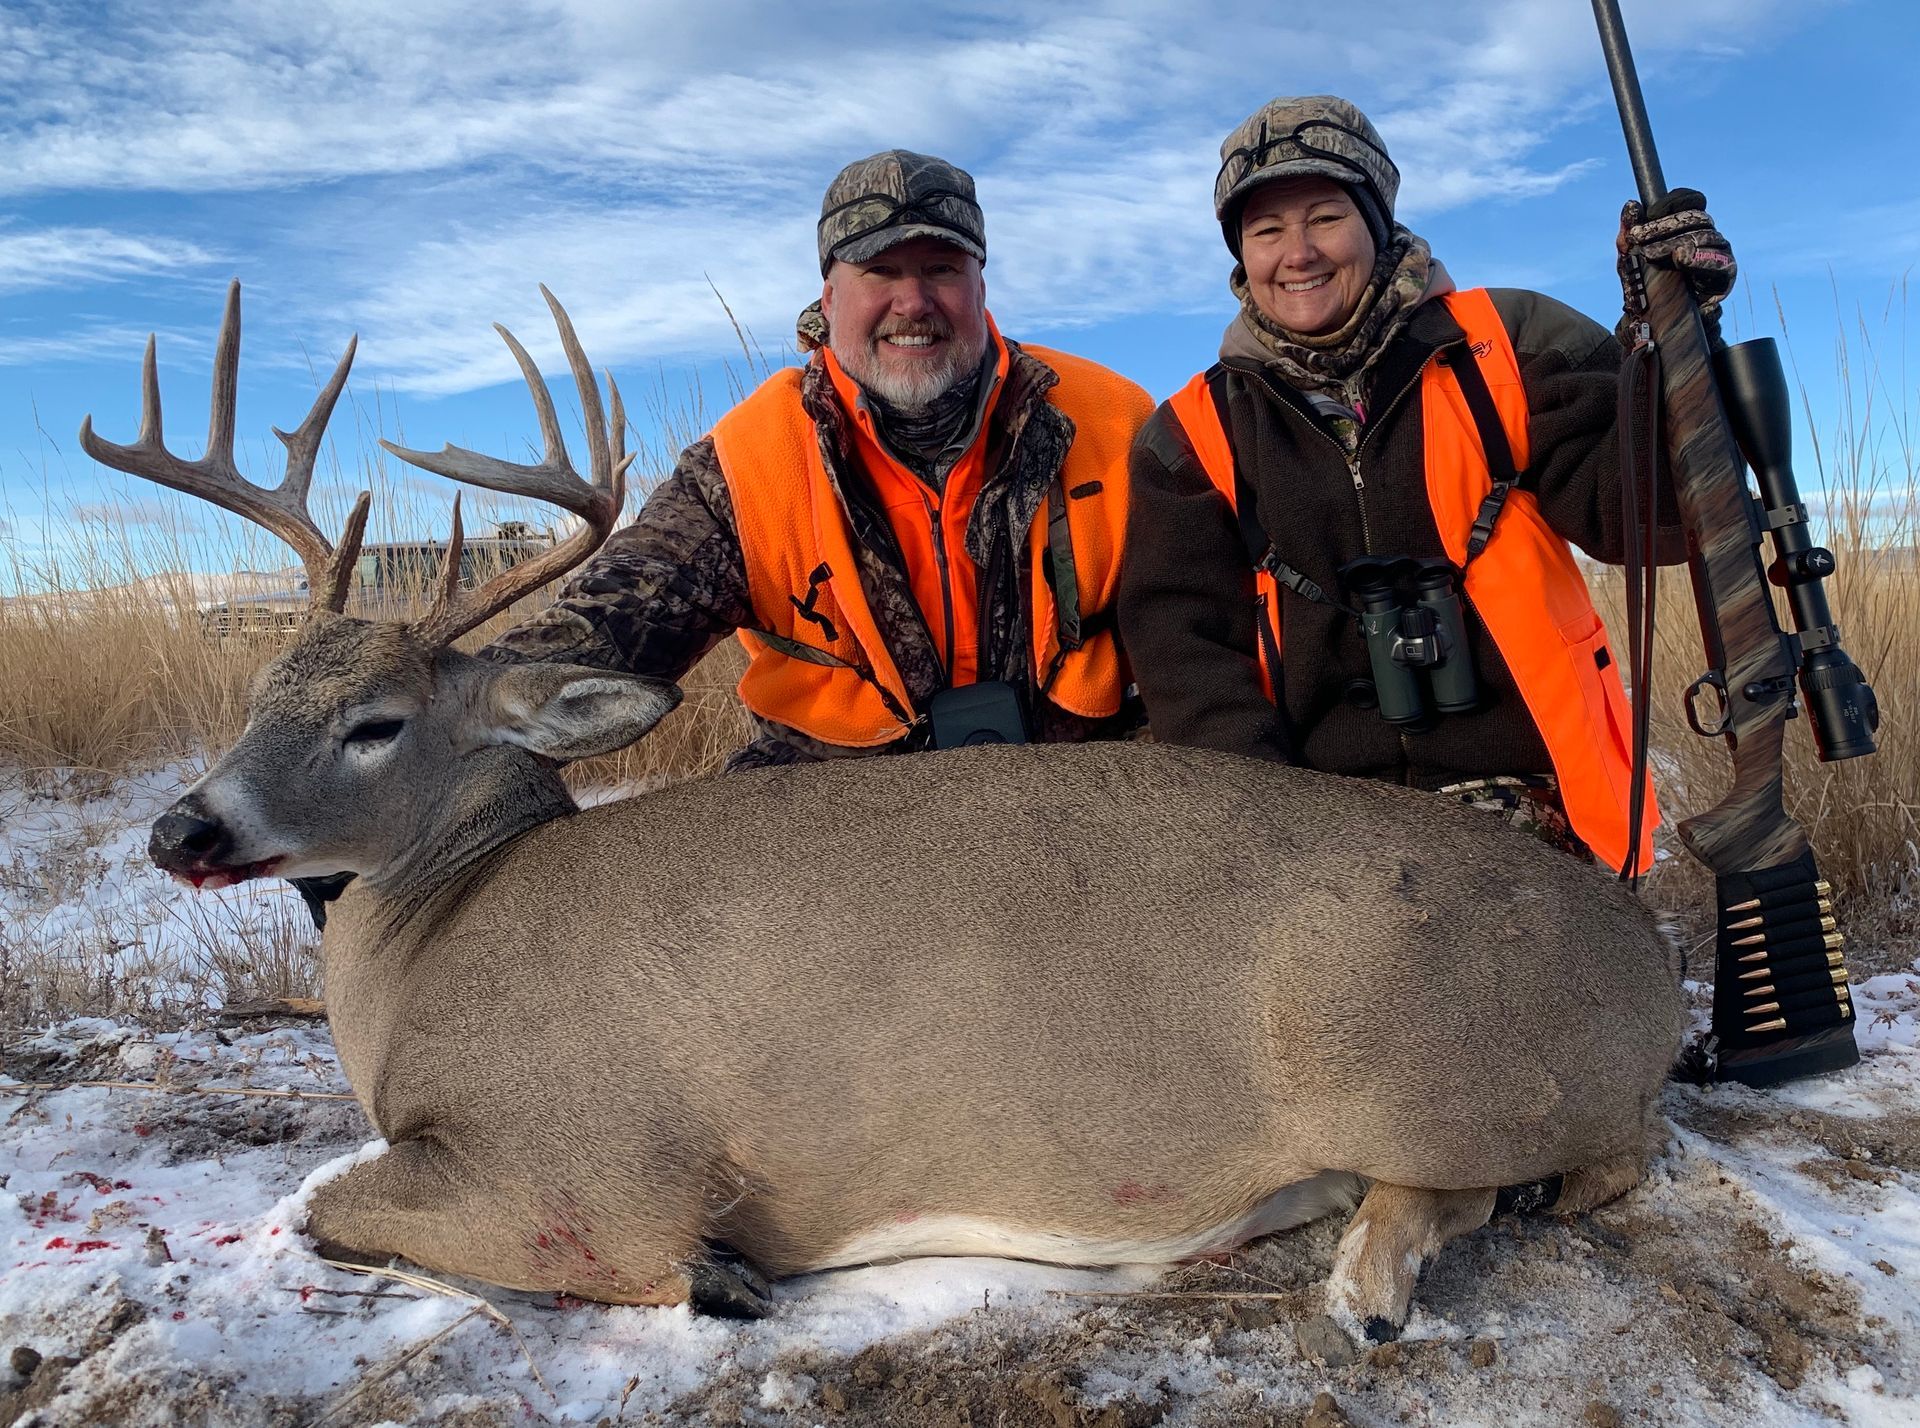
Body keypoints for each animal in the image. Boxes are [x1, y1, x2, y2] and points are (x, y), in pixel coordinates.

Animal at [81, 283, 1684, 1352]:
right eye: (255, 697)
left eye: (377, 724)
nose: (181, 834)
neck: (437, 943)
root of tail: (1647, 956)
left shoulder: (580, 1171)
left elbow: (334, 1208)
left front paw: (720, 1278)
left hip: (1427, 1061)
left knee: (1583, 1162)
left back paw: (1366, 1284)